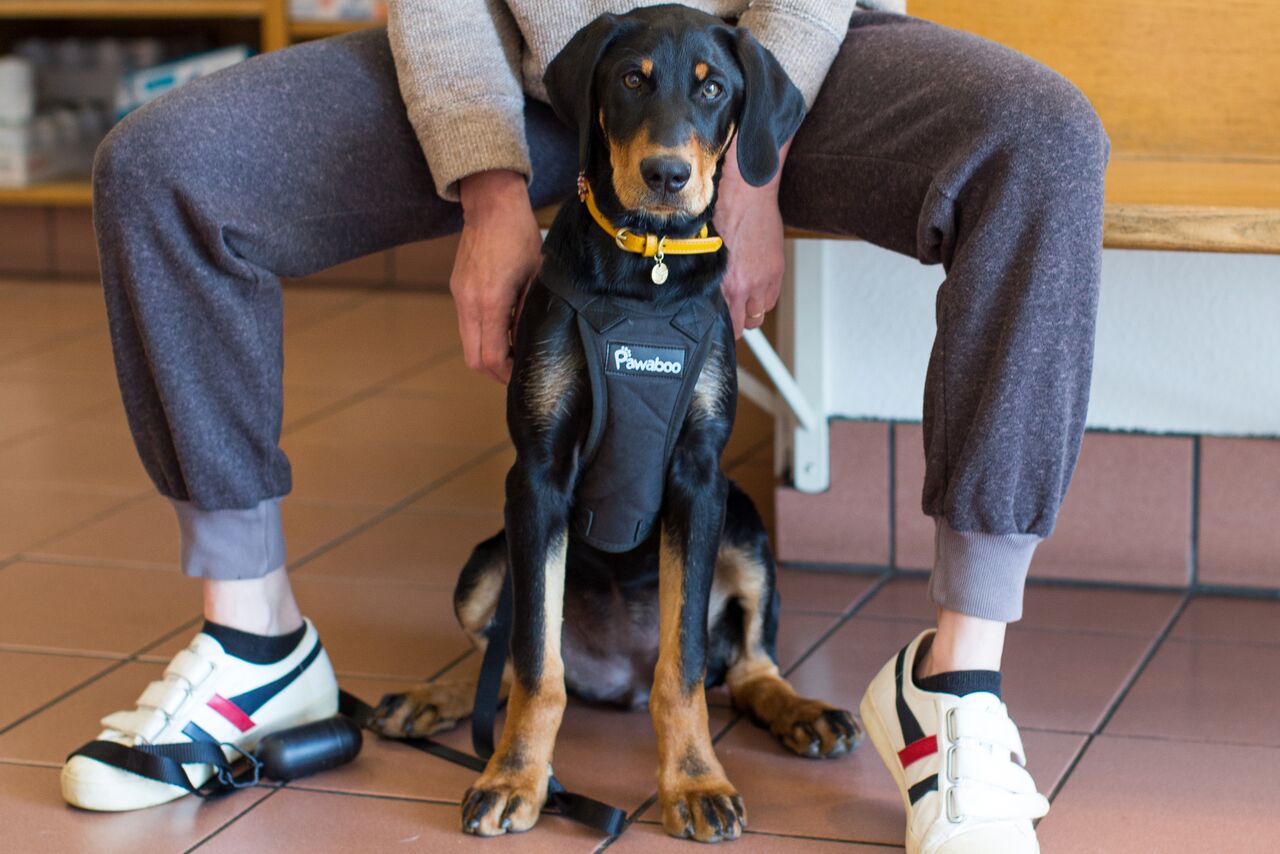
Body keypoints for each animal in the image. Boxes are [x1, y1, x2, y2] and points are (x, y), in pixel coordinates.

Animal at [373, 6, 865, 845]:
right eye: (632, 79)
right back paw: (434, 701)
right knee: (503, 661)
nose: (667, 176)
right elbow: (535, 667)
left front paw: (695, 781)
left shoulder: (699, 477)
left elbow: (686, 666)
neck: (648, 266)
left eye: (714, 89)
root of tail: (616, 677)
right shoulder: (536, 475)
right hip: (488, 561)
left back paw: (801, 711)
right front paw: (514, 777)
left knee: (746, 664)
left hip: (742, 522)